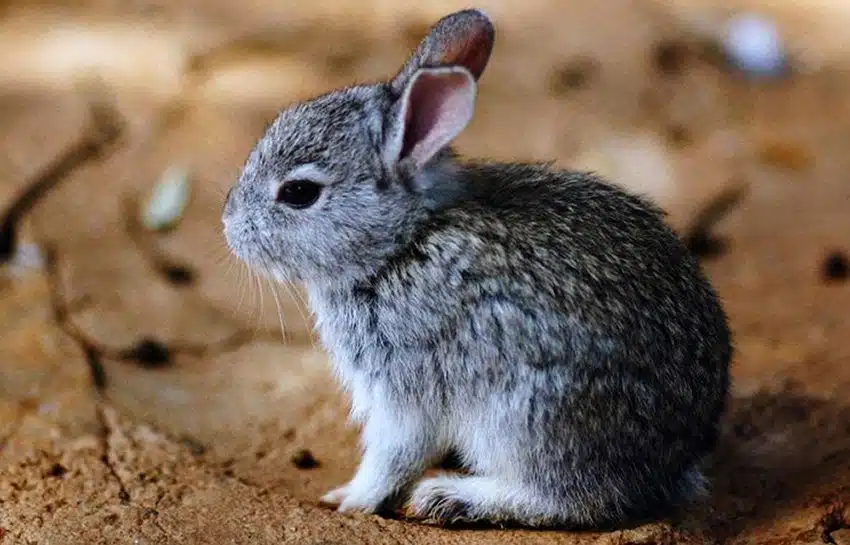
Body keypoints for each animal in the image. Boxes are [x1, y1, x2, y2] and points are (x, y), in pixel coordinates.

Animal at [222, 8, 732, 528]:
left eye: (299, 193)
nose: (229, 225)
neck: (402, 242)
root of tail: (674, 458)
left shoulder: (406, 385)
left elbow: (393, 454)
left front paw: (351, 499)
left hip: (528, 417)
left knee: (572, 498)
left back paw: (452, 497)